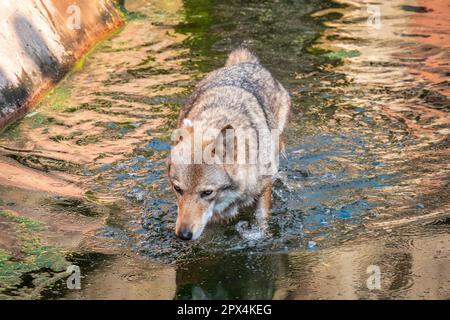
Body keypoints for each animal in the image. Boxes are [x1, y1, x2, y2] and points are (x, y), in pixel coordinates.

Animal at [167, 47, 290, 240]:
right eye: (178, 189)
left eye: (207, 192)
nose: (184, 235)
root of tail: (245, 64)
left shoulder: (263, 187)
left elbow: (261, 218)